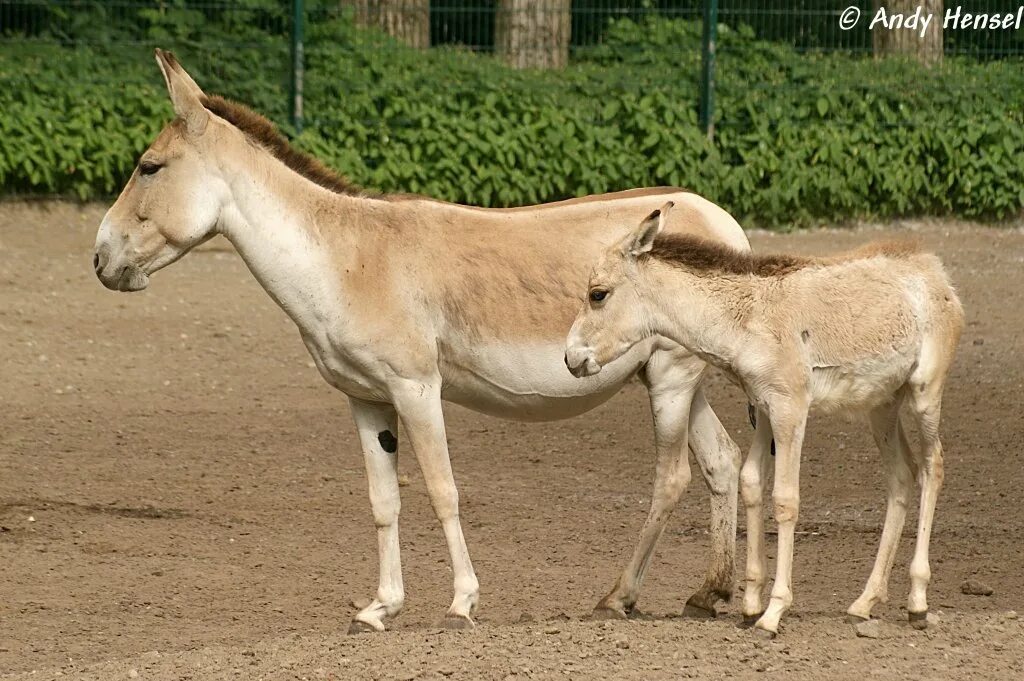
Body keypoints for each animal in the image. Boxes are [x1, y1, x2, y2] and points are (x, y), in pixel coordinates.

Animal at [565, 202, 962, 639]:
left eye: (597, 294)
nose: (570, 358)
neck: (750, 317)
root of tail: (933, 269)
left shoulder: (790, 409)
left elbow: (785, 499)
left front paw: (772, 613)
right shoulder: (764, 406)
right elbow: (752, 483)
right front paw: (750, 604)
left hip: (924, 393)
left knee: (933, 467)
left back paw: (918, 603)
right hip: (882, 406)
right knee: (902, 476)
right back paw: (864, 604)